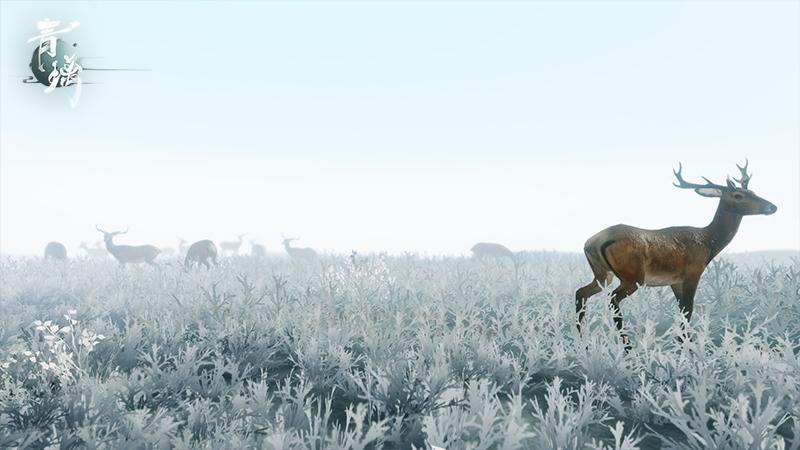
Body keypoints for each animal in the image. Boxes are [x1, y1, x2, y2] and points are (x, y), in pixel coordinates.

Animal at [576, 162, 776, 348]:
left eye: (752, 190)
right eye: (738, 195)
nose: (772, 206)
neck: (708, 244)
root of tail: (594, 242)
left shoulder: (675, 281)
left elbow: (682, 311)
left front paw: (683, 344)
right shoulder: (692, 274)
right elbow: (688, 311)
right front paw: (687, 347)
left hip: (603, 275)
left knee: (581, 293)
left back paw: (583, 342)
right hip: (632, 276)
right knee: (612, 300)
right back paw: (627, 347)